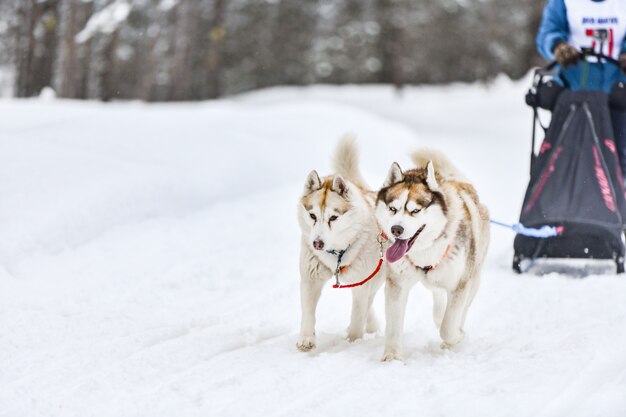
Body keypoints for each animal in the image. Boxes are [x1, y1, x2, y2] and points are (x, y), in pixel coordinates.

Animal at [294, 136, 382, 352]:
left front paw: (352, 341)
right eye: (312, 215)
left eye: (333, 217)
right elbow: (308, 312)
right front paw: (306, 339)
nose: (317, 243)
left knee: (368, 303)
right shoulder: (310, 278)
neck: (336, 254)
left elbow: (358, 313)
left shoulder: (363, 282)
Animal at [372, 150, 490, 360]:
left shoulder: (461, 284)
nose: (396, 229)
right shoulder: (397, 285)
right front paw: (393, 357)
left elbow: (448, 328)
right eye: (393, 209)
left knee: (460, 309)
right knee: (438, 297)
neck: (425, 251)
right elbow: (393, 328)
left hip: (473, 275)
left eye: (415, 210)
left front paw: (456, 337)